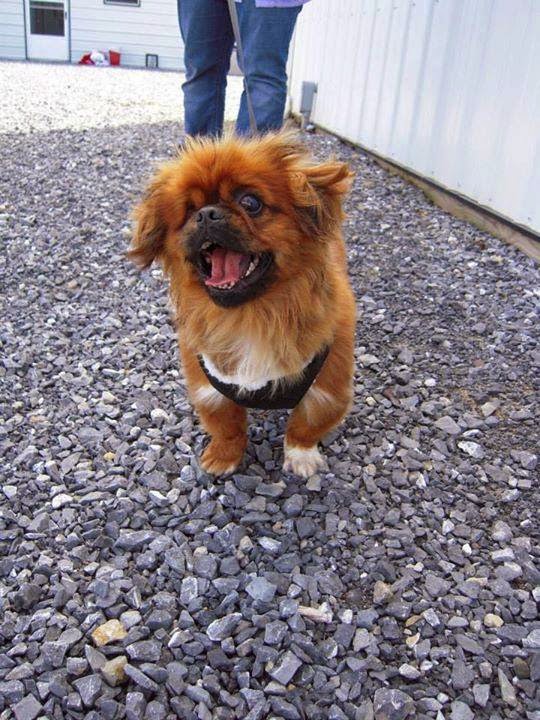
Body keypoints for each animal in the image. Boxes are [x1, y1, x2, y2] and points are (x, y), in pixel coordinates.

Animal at [129, 133, 356, 478]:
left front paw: (301, 458)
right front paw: (223, 458)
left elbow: (305, 427)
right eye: (189, 210)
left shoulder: (328, 388)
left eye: (250, 203)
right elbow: (227, 428)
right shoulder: (210, 389)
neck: (251, 316)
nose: (206, 214)